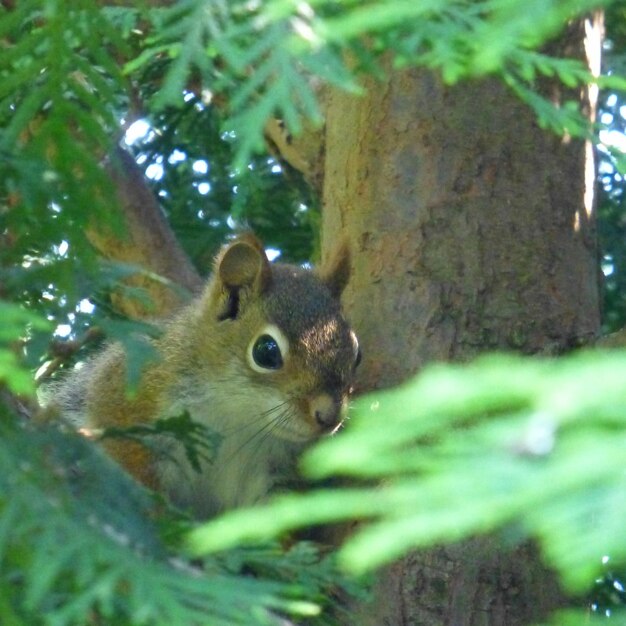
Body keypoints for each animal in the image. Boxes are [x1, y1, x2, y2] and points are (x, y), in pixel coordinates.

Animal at [46, 234, 358, 516]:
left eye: (357, 352)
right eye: (266, 352)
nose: (329, 417)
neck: (238, 414)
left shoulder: (272, 474)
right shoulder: (126, 397)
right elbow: (125, 452)